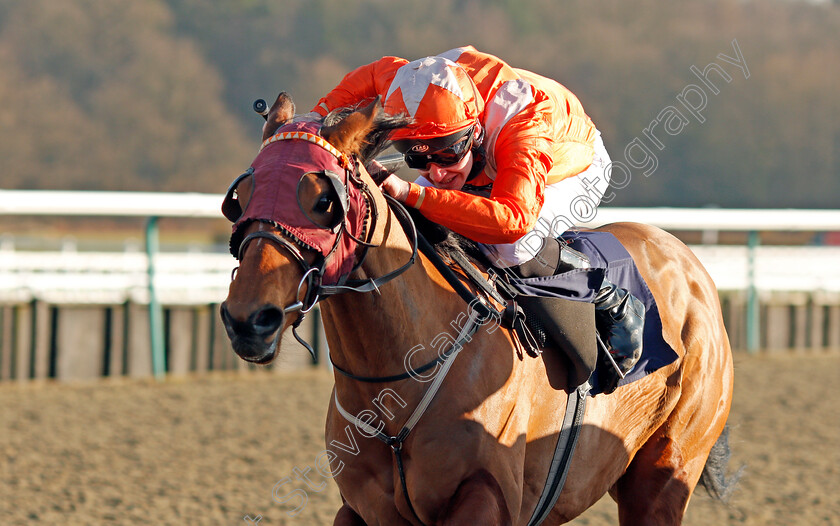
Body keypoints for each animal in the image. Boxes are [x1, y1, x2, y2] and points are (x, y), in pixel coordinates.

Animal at [221, 96, 736, 526]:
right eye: (240, 200)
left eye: (324, 201)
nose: (248, 319)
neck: (400, 382)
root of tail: (685, 259)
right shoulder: (364, 509)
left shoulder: (485, 498)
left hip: (664, 472)